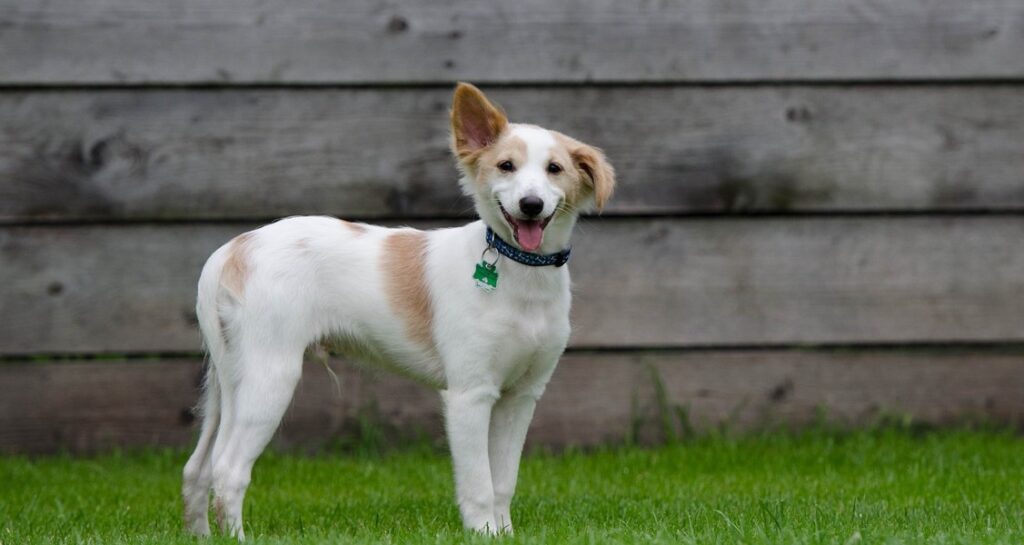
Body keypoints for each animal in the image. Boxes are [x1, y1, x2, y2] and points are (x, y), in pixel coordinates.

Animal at [182, 82, 614, 536]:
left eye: (554, 169)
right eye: (506, 166)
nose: (530, 205)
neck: (520, 274)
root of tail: (231, 251)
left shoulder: (521, 396)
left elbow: (503, 482)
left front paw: (505, 535)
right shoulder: (470, 394)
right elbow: (479, 483)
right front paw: (483, 533)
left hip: (227, 381)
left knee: (197, 469)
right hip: (270, 375)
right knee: (228, 470)